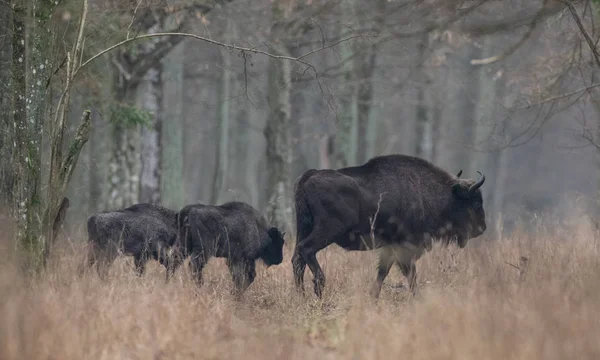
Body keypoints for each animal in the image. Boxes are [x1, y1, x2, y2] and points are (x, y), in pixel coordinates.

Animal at [292, 155, 488, 298]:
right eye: (476, 203)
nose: (482, 228)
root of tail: (309, 176)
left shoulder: (391, 247)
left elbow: (383, 272)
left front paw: (373, 296)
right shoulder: (405, 246)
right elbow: (410, 274)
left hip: (304, 227)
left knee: (297, 260)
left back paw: (301, 296)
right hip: (328, 231)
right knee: (306, 249)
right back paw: (318, 288)